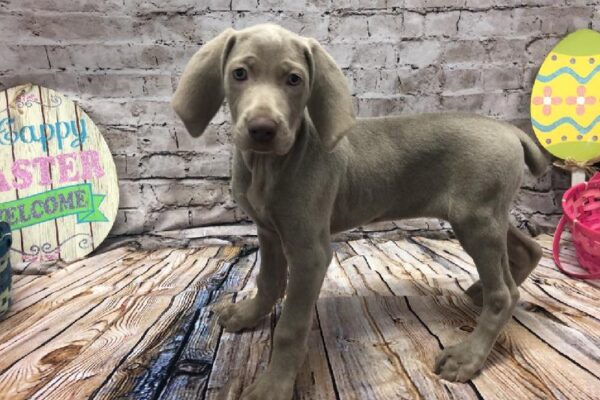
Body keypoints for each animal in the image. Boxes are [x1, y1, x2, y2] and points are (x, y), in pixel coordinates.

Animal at [172, 22, 548, 400]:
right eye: (239, 74)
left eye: (294, 79)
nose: (263, 129)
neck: (268, 167)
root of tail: (510, 129)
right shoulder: (268, 231)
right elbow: (267, 281)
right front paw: (248, 316)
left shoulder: (310, 253)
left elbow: (291, 327)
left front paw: (273, 386)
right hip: (487, 216)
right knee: (528, 250)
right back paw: (481, 289)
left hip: (475, 221)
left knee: (505, 294)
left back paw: (468, 355)